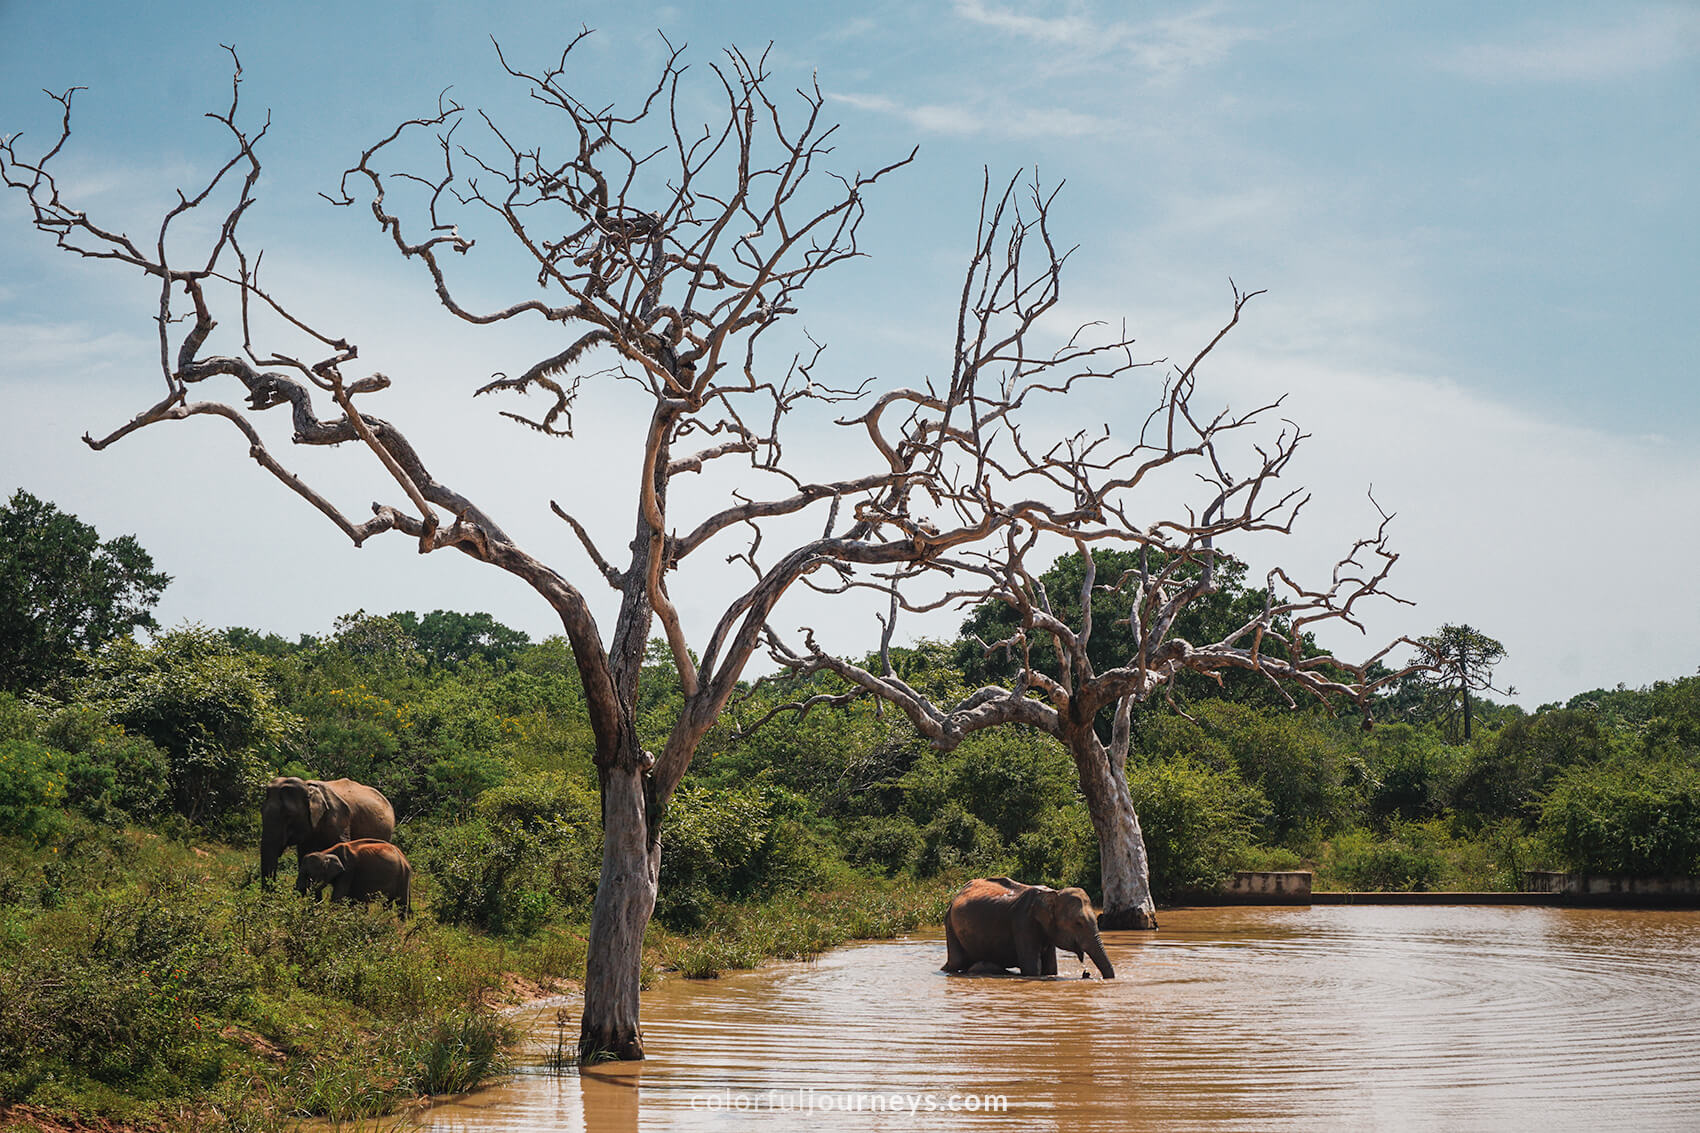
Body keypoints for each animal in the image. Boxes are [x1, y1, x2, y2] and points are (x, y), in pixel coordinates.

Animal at [942, 876, 1115, 979]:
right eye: (1078, 923)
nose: (1087, 973)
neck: (1053, 893)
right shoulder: (1023, 923)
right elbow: (1032, 969)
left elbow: (1050, 969)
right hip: (950, 924)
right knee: (956, 962)